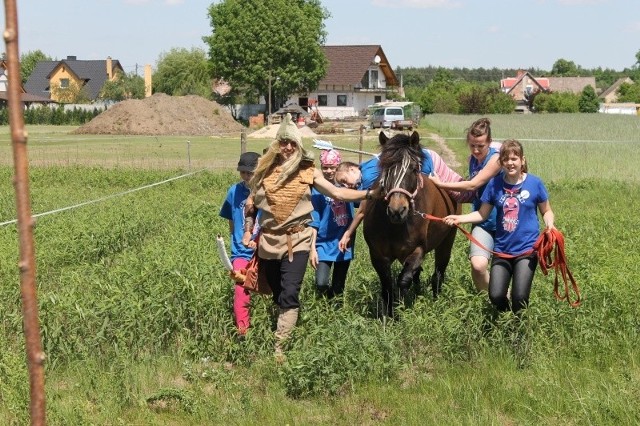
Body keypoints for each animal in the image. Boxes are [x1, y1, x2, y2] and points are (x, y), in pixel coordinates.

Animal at [360, 131, 460, 318]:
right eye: (385, 168)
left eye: (413, 169)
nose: (397, 210)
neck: (395, 227)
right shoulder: (378, 256)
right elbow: (387, 286)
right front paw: (390, 315)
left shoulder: (418, 250)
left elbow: (403, 281)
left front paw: (401, 310)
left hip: (447, 242)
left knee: (438, 273)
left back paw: (435, 300)